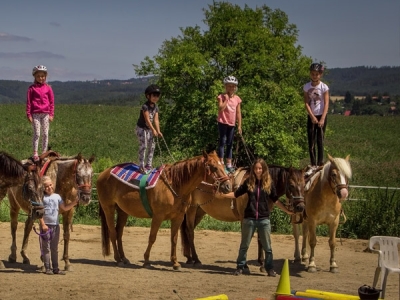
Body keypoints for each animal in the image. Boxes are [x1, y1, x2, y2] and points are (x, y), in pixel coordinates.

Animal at [96, 151, 231, 270]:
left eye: (223, 166)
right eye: (214, 167)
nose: (228, 186)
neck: (175, 185)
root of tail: (103, 174)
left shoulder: (178, 217)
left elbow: (174, 239)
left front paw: (175, 263)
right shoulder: (158, 216)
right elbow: (152, 237)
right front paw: (146, 261)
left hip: (122, 211)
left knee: (119, 233)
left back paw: (124, 258)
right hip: (108, 207)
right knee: (113, 233)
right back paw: (118, 259)